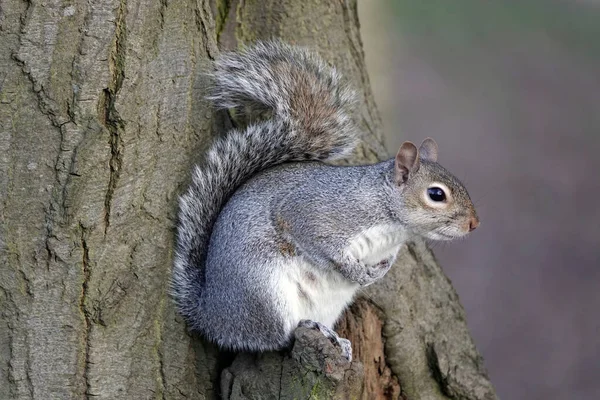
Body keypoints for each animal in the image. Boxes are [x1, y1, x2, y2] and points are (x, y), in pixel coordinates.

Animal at [171, 41, 480, 362]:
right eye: (436, 194)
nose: (474, 223)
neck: (389, 218)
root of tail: (212, 317)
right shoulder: (314, 212)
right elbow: (320, 243)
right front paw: (356, 271)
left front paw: (379, 271)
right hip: (264, 292)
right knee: (275, 338)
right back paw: (312, 327)